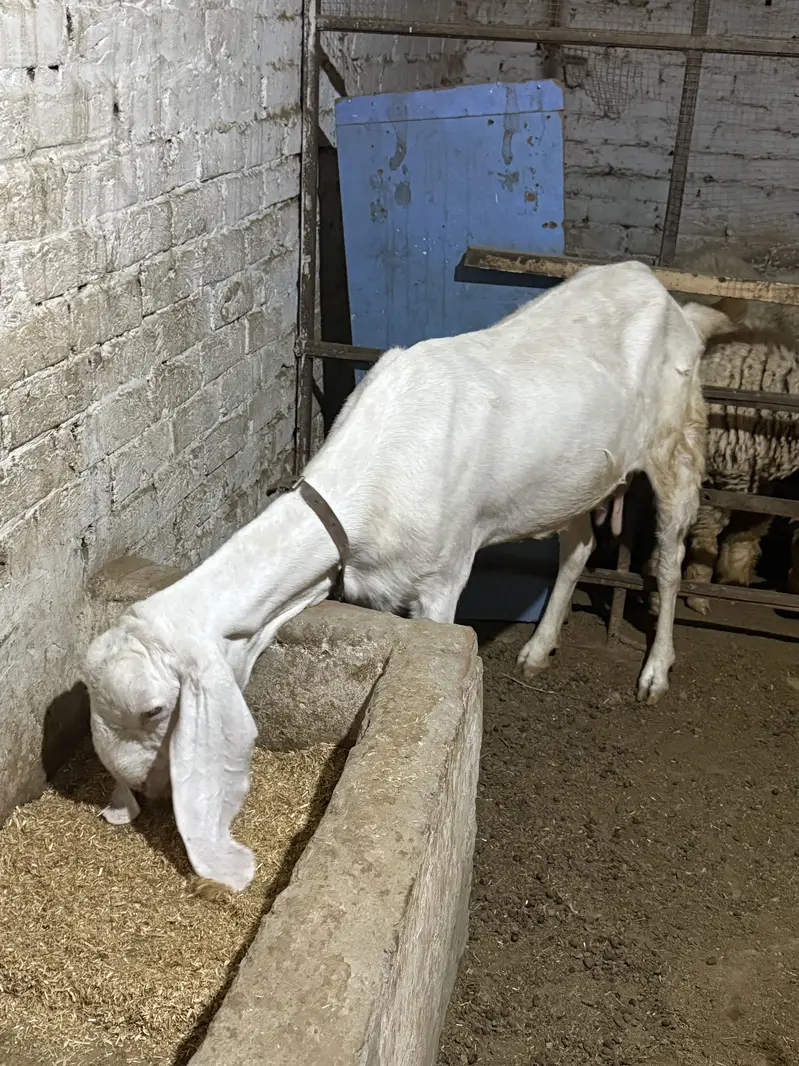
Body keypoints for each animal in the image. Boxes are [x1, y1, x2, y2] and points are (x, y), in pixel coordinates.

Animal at [82, 260, 730, 891]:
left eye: (154, 711)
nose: (129, 792)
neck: (369, 479)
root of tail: (669, 299)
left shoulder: (442, 578)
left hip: (677, 443)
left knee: (667, 562)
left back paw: (655, 671)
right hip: (573, 479)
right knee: (580, 546)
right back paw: (539, 647)